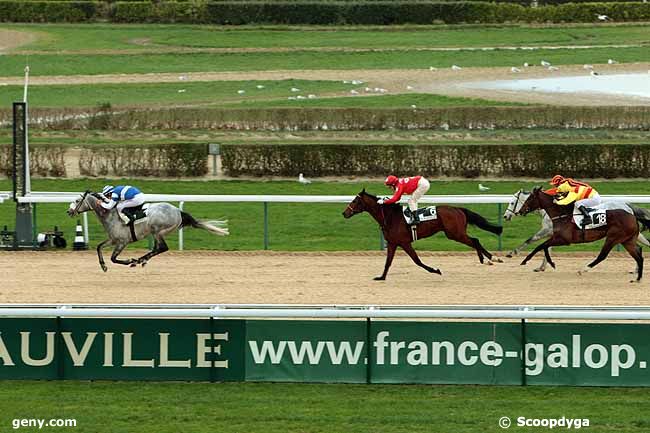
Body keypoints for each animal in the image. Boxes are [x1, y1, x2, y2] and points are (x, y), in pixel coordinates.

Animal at [67, 190, 228, 270]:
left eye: (77, 200)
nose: (69, 211)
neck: (110, 214)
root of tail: (178, 211)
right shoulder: (113, 240)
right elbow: (99, 247)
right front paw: (103, 266)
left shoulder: (122, 242)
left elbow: (113, 258)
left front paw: (129, 260)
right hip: (156, 232)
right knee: (158, 248)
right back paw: (142, 260)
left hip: (158, 230)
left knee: (162, 247)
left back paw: (139, 260)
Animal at [340, 190, 502, 280]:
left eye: (355, 201)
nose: (344, 213)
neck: (390, 217)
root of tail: (458, 209)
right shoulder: (393, 243)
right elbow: (388, 262)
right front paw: (381, 277)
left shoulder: (404, 242)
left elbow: (416, 260)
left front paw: (435, 270)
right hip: (455, 233)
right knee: (475, 240)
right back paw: (486, 258)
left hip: (455, 233)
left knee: (475, 240)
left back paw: (491, 258)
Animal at [512, 186, 644, 282]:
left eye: (530, 199)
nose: (520, 211)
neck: (562, 215)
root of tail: (632, 215)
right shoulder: (556, 237)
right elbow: (543, 247)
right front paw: (547, 264)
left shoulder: (564, 240)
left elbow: (541, 246)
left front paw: (526, 260)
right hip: (627, 240)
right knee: (639, 255)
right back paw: (637, 278)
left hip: (613, 238)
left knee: (602, 256)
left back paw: (583, 269)